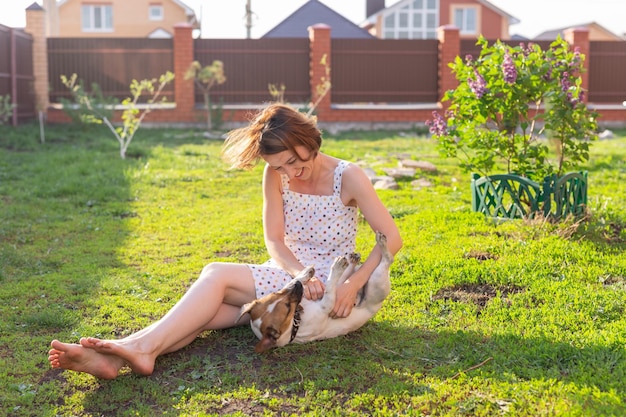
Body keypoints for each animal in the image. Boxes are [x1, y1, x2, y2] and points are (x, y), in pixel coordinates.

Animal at [238, 231, 390, 352]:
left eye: (275, 294)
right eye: (287, 308)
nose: (298, 286)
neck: (296, 320)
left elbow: (293, 281)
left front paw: (305, 274)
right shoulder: (326, 305)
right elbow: (329, 288)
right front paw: (333, 268)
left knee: (345, 277)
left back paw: (351, 261)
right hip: (377, 283)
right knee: (387, 260)